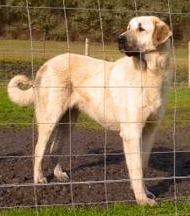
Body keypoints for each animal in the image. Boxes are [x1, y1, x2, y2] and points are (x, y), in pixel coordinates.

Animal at [7, 16, 172, 205]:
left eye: (141, 29)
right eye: (128, 27)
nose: (119, 38)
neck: (149, 73)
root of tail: (47, 63)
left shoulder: (150, 131)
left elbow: (143, 166)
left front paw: (146, 193)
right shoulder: (132, 132)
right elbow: (136, 169)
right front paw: (142, 200)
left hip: (68, 122)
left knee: (55, 148)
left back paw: (59, 174)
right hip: (49, 119)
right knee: (38, 149)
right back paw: (39, 179)